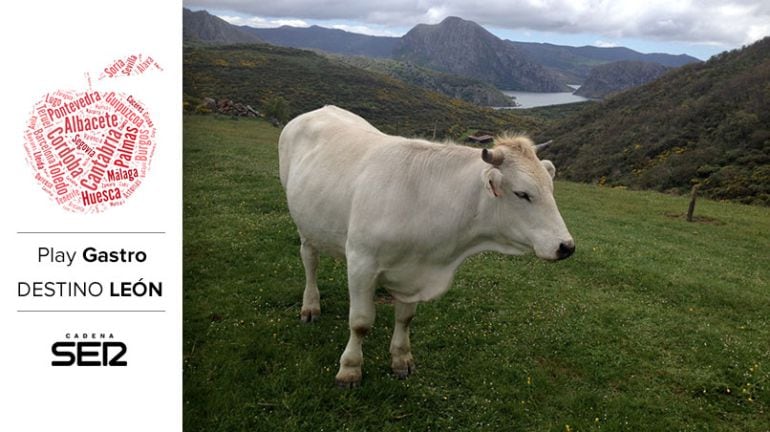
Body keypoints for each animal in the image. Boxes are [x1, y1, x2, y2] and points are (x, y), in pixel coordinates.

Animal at [280, 105, 572, 388]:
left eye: (551, 188)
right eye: (522, 194)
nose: (566, 246)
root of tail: (320, 109)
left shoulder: (413, 273)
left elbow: (405, 318)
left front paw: (401, 358)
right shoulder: (362, 262)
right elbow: (361, 322)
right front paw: (350, 369)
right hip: (305, 224)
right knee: (310, 260)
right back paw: (310, 306)